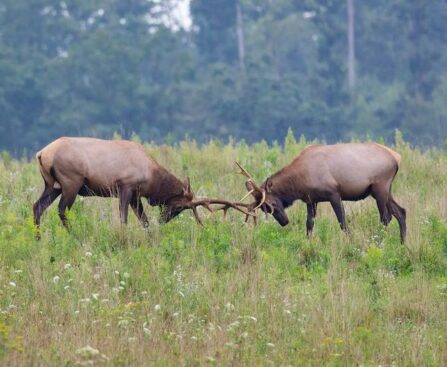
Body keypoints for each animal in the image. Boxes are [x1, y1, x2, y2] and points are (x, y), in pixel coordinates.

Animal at [33, 137, 254, 237]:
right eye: (179, 206)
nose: (163, 220)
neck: (151, 179)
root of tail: (42, 153)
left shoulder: (135, 195)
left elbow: (144, 220)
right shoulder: (125, 186)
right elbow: (124, 218)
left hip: (52, 185)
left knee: (37, 207)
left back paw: (37, 237)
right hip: (71, 182)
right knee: (62, 210)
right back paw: (75, 235)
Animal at [236, 144, 408, 244]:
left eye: (272, 204)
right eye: (263, 208)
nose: (284, 222)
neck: (299, 182)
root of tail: (397, 158)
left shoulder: (334, 193)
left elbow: (342, 222)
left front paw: (352, 242)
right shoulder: (311, 200)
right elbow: (309, 223)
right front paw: (308, 243)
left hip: (380, 187)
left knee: (386, 217)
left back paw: (379, 242)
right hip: (384, 190)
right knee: (401, 211)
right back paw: (402, 243)